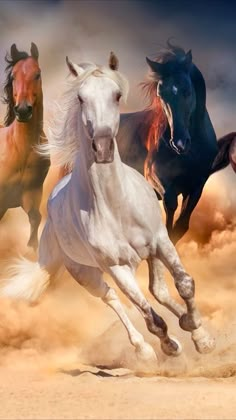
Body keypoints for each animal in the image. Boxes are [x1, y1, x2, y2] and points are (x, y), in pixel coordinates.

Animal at [0, 52, 214, 364]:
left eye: (117, 95)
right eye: (80, 98)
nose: (102, 148)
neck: (117, 206)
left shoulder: (161, 242)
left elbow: (184, 283)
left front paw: (200, 334)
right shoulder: (116, 267)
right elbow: (150, 317)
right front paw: (169, 345)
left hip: (149, 254)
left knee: (159, 290)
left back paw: (190, 328)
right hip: (86, 274)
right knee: (112, 298)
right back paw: (144, 348)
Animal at [117, 42, 236, 243]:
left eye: (187, 91)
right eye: (161, 94)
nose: (179, 143)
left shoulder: (196, 186)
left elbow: (181, 225)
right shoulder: (156, 178)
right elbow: (170, 208)